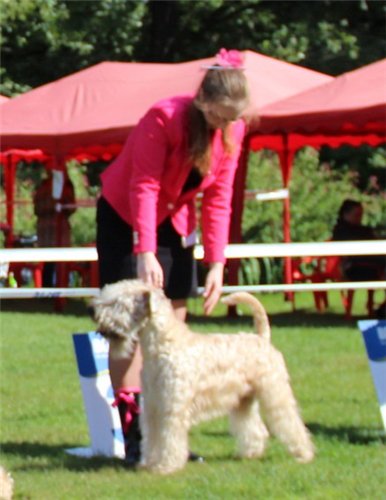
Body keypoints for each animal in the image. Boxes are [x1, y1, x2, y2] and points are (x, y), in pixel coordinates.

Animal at [93, 280, 314, 474]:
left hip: (275, 392)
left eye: (119, 303)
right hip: (243, 400)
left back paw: (304, 454)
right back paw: (250, 453)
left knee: (290, 422)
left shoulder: (172, 407)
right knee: (255, 428)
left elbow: (169, 438)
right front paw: (149, 463)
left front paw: (166, 466)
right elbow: (153, 438)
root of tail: (262, 337)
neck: (163, 345)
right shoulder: (153, 407)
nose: (93, 312)